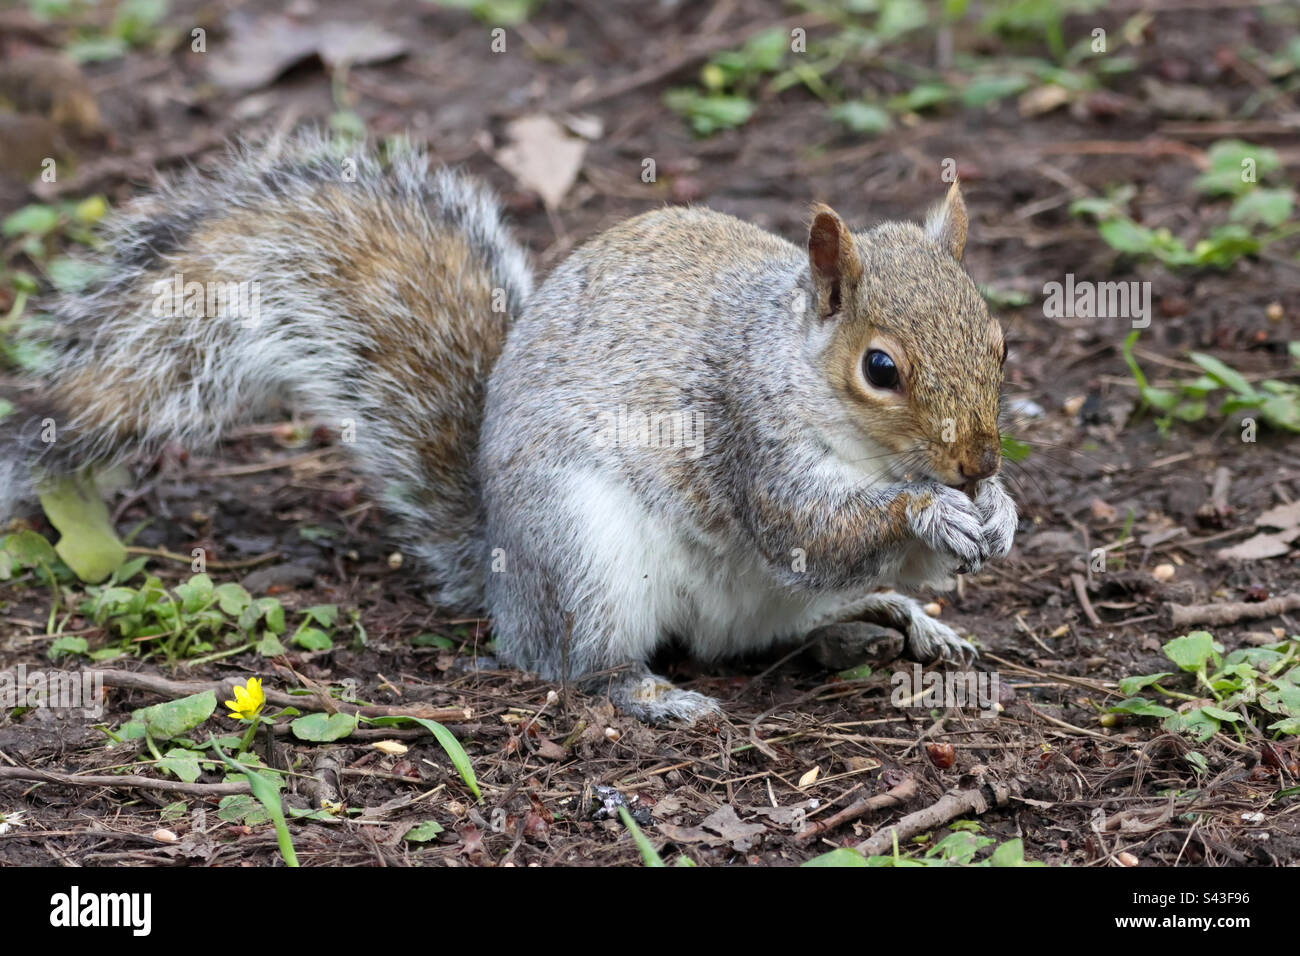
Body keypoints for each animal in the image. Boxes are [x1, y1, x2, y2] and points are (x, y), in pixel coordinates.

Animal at [0, 132, 1017, 723]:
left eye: (1001, 341)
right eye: (880, 369)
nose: (976, 462)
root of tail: (500, 576)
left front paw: (995, 513)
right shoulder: (743, 434)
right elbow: (809, 529)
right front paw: (929, 514)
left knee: (789, 623)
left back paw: (897, 618)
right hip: (585, 557)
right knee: (583, 665)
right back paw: (655, 694)